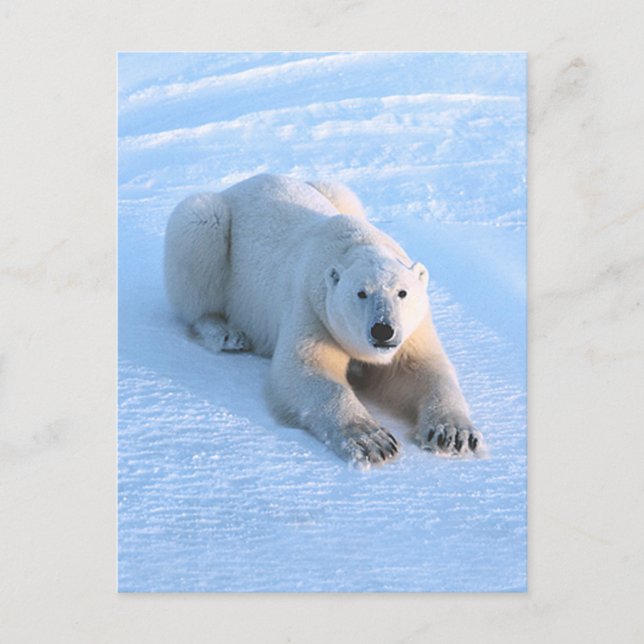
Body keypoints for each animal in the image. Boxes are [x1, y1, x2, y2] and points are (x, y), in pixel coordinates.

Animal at [164, 174, 484, 466]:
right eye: (361, 293)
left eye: (402, 292)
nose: (383, 330)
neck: (354, 244)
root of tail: (238, 185)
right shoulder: (311, 307)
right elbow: (306, 370)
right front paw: (373, 440)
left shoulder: (414, 328)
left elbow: (423, 369)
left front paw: (454, 435)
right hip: (210, 224)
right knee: (199, 239)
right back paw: (226, 333)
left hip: (336, 191)